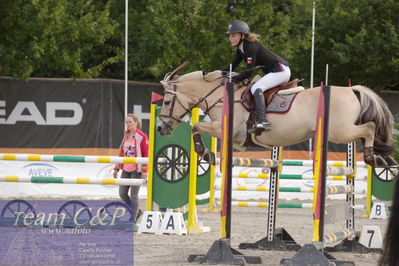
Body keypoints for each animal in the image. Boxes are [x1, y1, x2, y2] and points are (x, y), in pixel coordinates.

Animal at [156, 61, 396, 168]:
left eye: (167, 102)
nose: (159, 128)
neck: (221, 96)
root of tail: (351, 89)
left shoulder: (226, 129)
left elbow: (196, 127)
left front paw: (204, 153)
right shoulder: (236, 139)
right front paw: (210, 154)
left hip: (340, 131)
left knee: (369, 128)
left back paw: (372, 157)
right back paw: (383, 158)